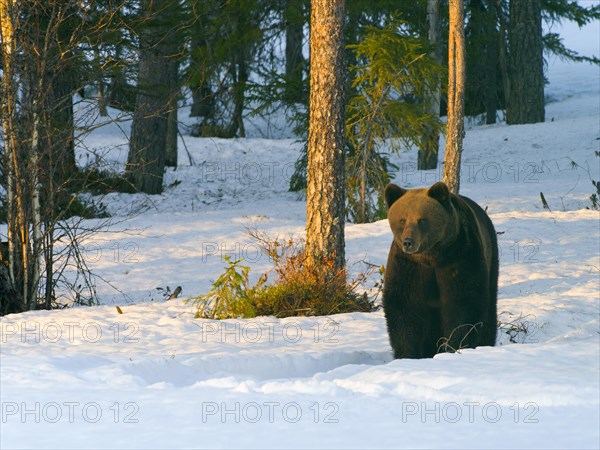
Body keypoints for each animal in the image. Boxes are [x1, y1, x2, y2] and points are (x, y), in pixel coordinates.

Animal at [382, 180, 500, 358]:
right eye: (402, 220)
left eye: (421, 220)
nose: (408, 242)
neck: (432, 257)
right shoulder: (408, 265)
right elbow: (404, 304)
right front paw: (408, 352)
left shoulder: (460, 256)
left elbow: (463, 302)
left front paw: (456, 345)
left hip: (490, 257)